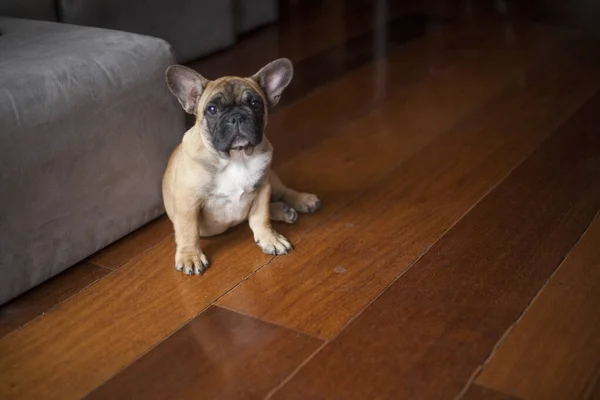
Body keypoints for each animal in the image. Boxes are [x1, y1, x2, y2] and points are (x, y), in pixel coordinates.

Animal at [159, 57, 318, 276]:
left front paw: (270, 239)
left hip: (272, 179)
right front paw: (190, 256)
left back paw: (303, 201)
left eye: (255, 104)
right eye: (212, 109)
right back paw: (283, 210)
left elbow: (261, 217)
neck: (235, 157)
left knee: (282, 193)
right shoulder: (187, 202)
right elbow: (188, 231)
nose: (236, 117)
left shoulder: (263, 188)